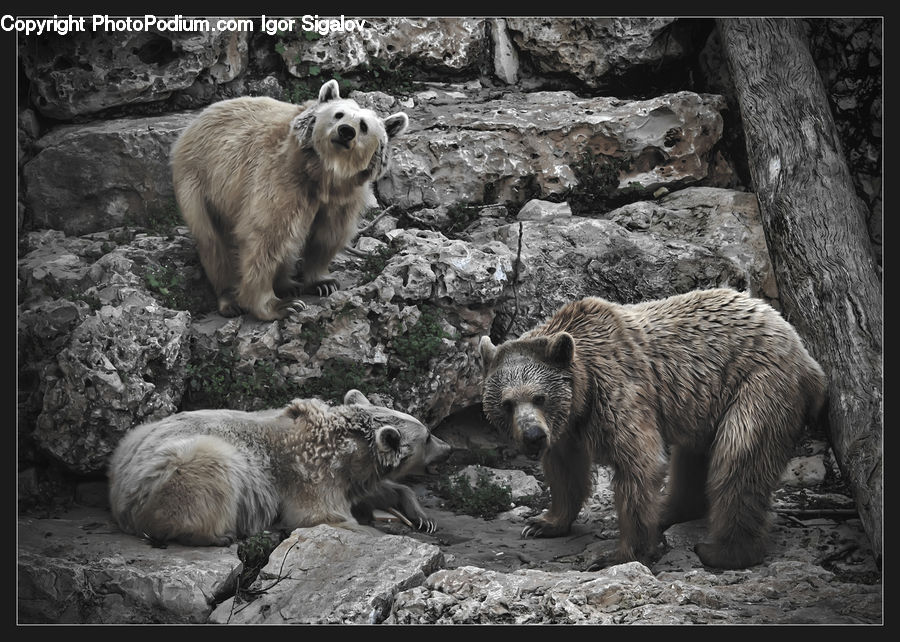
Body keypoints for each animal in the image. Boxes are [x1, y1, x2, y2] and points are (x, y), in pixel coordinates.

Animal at [107, 389, 450, 546]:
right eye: (428, 436)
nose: (449, 449)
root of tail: (118, 494)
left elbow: (370, 491)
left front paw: (423, 518)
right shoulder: (311, 475)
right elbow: (320, 516)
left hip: (133, 436)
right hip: (177, 468)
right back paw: (218, 535)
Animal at [170, 79, 409, 321]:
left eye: (363, 125)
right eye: (338, 114)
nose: (345, 131)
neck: (322, 175)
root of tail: (197, 119)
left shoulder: (343, 198)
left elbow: (327, 235)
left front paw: (323, 282)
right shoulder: (281, 179)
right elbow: (265, 237)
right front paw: (278, 306)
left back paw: (288, 284)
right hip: (199, 182)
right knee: (214, 243)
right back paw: (231, 300)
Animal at [478, 288, 826, 570]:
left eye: (539, 396)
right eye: (507, 403)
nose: (533, 437)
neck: (583, 388)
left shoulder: (617, 390)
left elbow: (639, 463)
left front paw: (617, 554)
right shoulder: (567, 426)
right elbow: (566, 471)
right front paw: (542, 523)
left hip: (758, 384)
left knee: (738, 459)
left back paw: (723, 551)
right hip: (706, 405)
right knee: (691, 460)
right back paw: (669, 512)